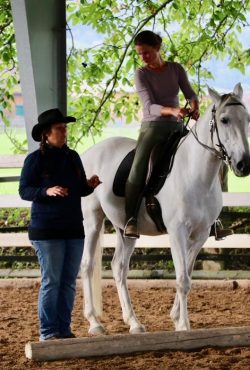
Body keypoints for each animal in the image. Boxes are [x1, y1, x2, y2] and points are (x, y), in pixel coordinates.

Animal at [81, 84, 249, 336]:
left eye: (247, 119)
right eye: (224, 119)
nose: (243, 164)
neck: (195, 172)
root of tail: (87, 154)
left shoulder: (199, 235)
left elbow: (187, 274)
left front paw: (176, 317)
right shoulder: (177, 233)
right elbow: (182, 279)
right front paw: (183, 326)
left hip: (124, 229)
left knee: (119, 267)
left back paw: (134, 322)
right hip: (92, 220)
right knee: (88, 265)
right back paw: (94, 323)